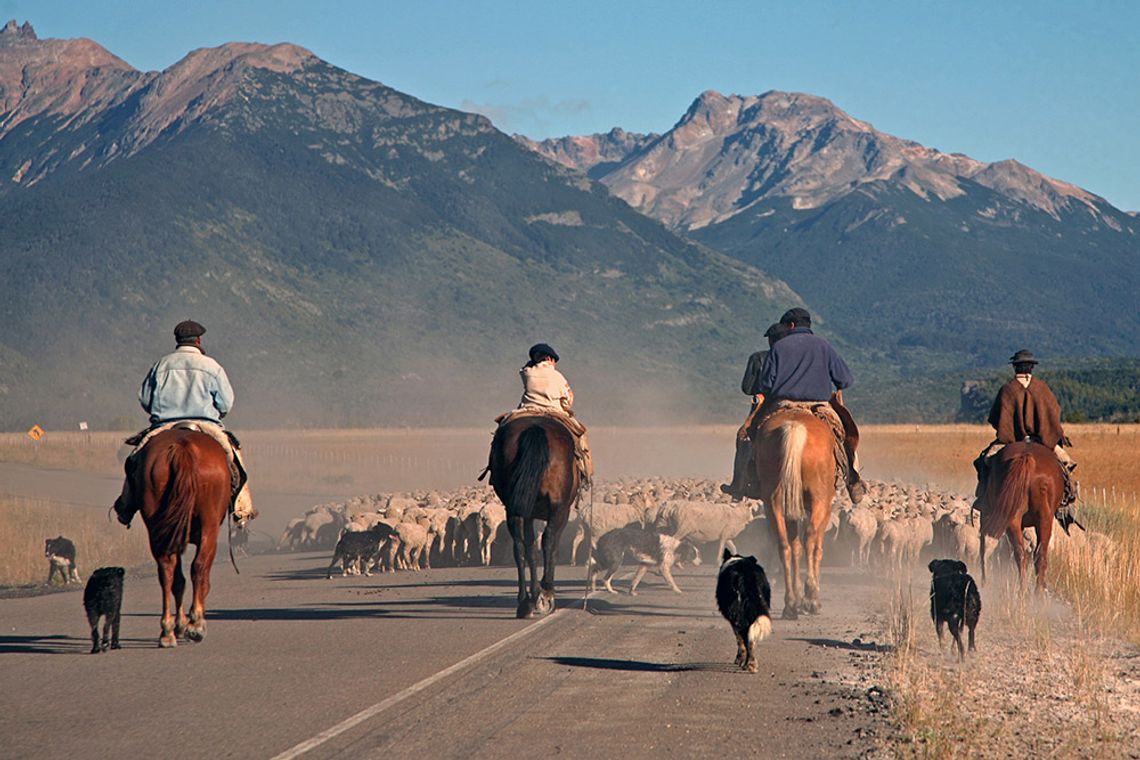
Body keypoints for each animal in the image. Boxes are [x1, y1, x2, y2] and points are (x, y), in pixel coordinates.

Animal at [487, 417, 579, 619]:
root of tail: (535, 428)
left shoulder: (527, 512)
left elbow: (530, 549)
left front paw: (535, 593)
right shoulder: (563, 510)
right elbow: (550, 547)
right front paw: (542, 592)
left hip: (514, 507)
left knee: (519, 546)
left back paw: (524, 602)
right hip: (558, 507)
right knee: (549, 539)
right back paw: (547, 593)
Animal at [756, 410, 839, 619]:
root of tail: (795, 427)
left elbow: (795, 548)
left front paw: (798, 594)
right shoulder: (826, 508)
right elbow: (817, 548)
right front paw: (808, 596)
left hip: (773, 502)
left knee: (784, 545)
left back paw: (791, 604)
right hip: (819, 499)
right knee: (810, 539)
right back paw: (812, 599)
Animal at [975, 439, 1062, 592]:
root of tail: (1026, 458)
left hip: (1012, 519)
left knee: (1020, 554)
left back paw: (1022, 590)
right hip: (1043, 519)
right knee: (1039, 555)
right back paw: (1037, 592)